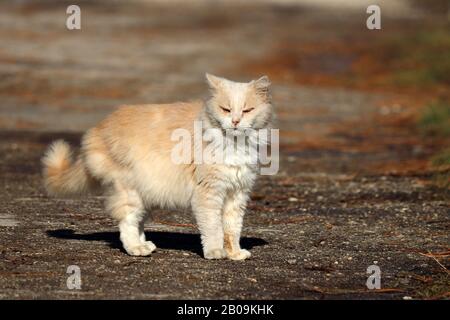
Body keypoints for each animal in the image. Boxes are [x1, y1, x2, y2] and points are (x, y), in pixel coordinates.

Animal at [42, 74, 274, 260]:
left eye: (247, 110)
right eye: (226, 109)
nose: (235, 122)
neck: (234, 144)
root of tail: (97, 129)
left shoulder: (237, 194)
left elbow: (232, 229)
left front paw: (234, 253)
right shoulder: (209, 193)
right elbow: (214, 228)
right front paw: (216, 252)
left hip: (147, 194)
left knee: (137, 224)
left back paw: (144, 245)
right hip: (130, 192)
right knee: (126, 223)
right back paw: (136, 249)